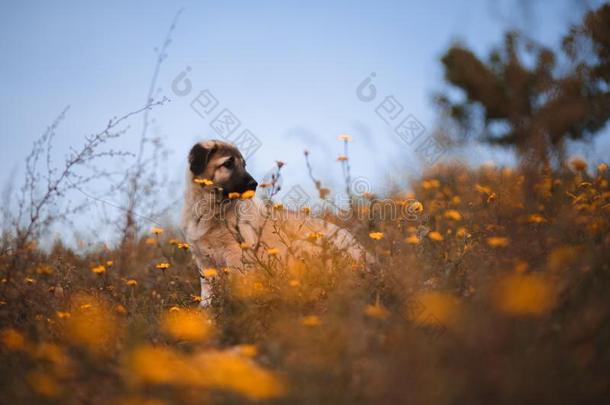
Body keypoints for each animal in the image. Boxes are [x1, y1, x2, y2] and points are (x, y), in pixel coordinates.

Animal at [178, 140, 364, 304]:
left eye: (244, 165)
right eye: (228, 163)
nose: (254, 184)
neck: (209, 212)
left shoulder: (236, 254)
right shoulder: (203, 260)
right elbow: (207, 292)